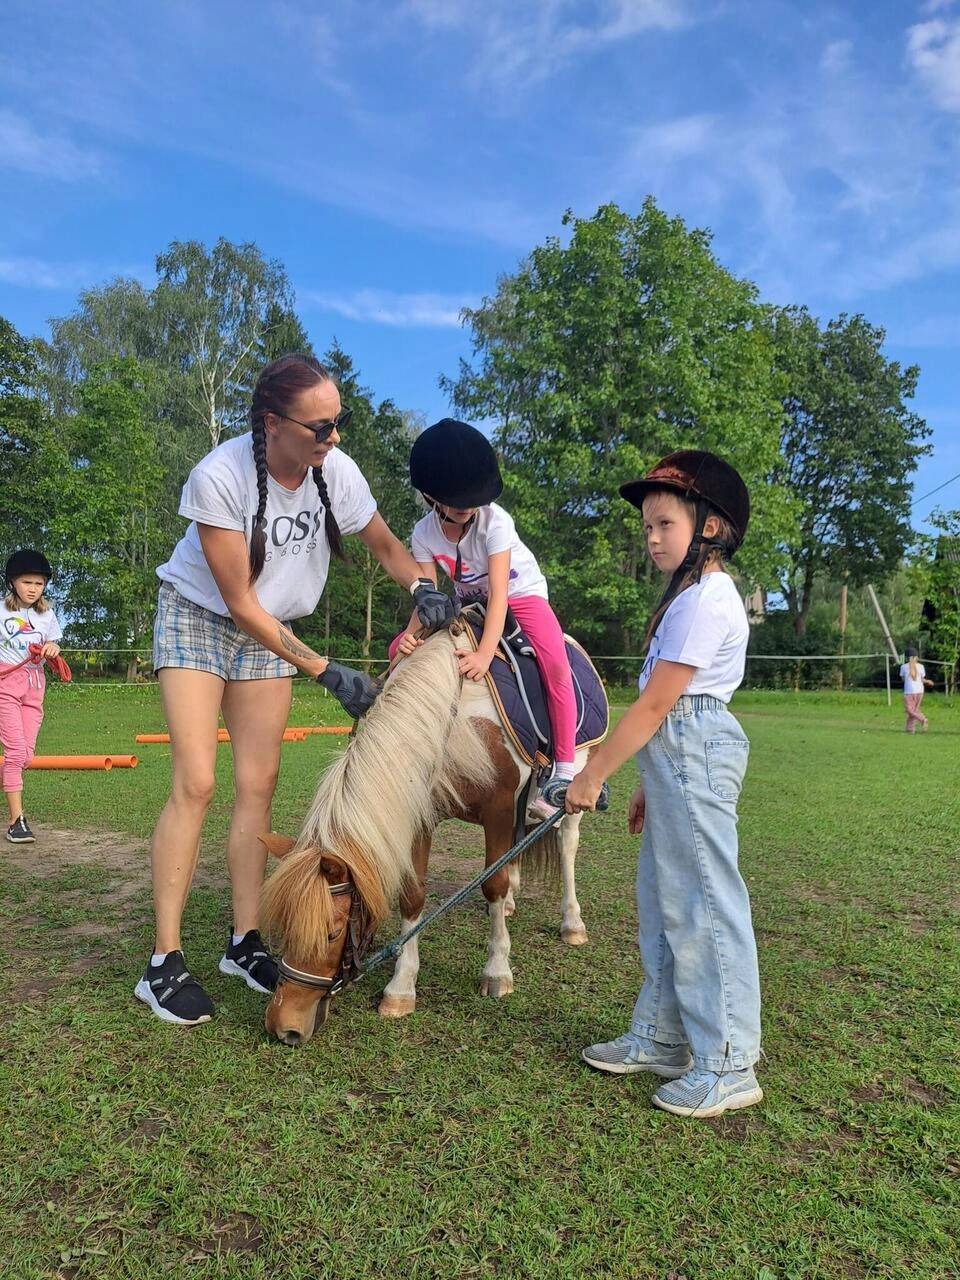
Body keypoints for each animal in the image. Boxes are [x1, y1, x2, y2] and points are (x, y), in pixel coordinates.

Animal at [261, 620, 604, 1047]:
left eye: (332, 932)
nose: (284, 1026)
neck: (454, 717)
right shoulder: (421, 813)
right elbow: (413, 895)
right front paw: (401, 988)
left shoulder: (498, 809)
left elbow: (491, 884)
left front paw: (497, 971)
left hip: (573, 788)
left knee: (566, 844)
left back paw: (572, 923)